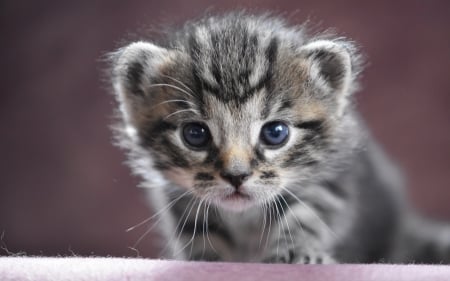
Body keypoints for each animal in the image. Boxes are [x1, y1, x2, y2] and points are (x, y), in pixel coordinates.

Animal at [110, 12, 450, 262]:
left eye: (275, 133)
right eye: (195, 134)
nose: (236, 176)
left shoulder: (330, 180)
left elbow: (308, 213)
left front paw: (297, 252)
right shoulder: (182, 199)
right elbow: (200, 230)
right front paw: (207, 260)